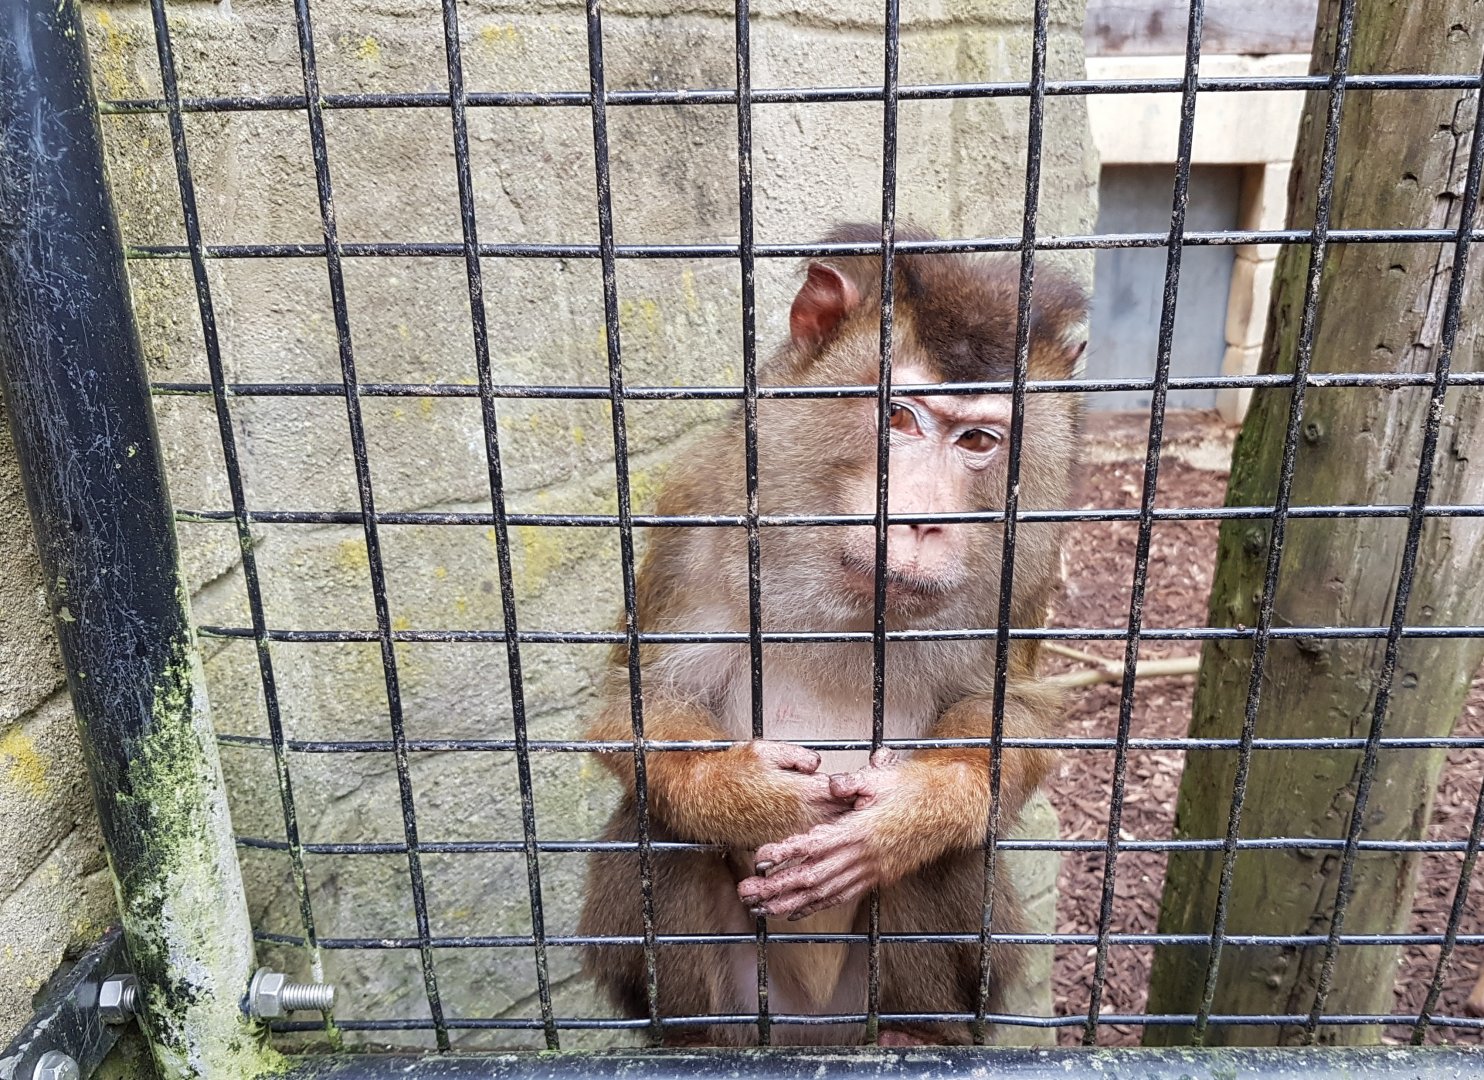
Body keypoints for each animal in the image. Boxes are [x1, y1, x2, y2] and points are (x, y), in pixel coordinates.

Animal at [577, 223, 1087, 1047]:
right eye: (899, 418)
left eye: (979, 440)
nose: (923, 519)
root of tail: (814, 1028)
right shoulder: (700, 511)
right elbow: (634, 708)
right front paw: (749, 797)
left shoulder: (1028, 566)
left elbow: (1020, 720)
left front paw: (910, 814)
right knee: (656, 832)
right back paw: (698, 1041)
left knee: (957, 862)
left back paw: (918, 1033)